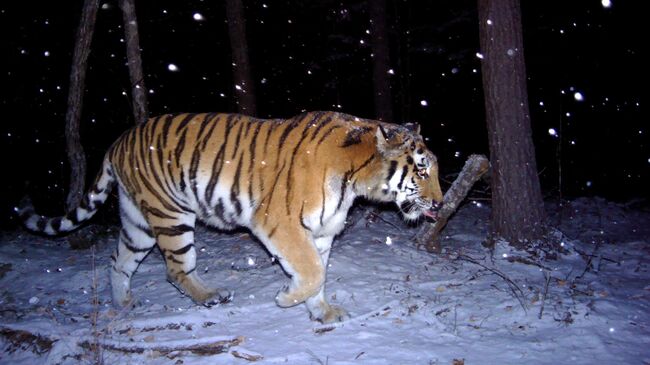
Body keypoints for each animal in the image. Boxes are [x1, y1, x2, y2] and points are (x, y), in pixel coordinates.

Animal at [21, 110, 446, 322]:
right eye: (423, 170)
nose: (441, 204)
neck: (355, 179)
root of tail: (116, 142)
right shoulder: (280, 222)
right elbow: (311, 271)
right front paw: (285, 299)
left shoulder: (323, 231)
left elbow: (319, 275)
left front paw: (322, 313)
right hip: (170, 214)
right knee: (175, 268)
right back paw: (209, 297)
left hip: (138, 220)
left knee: (118, 260)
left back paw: (123, 304)